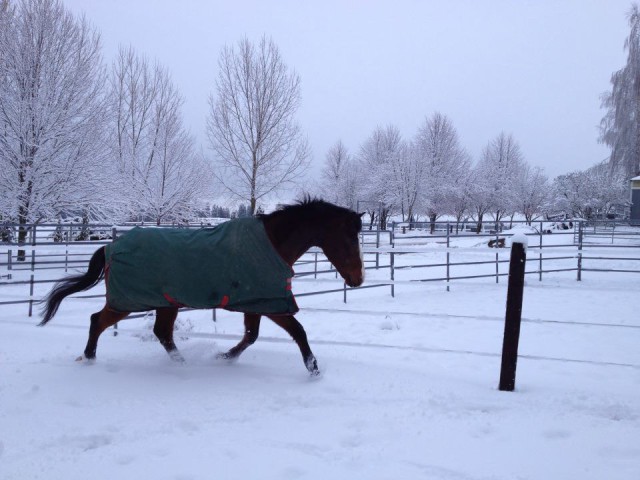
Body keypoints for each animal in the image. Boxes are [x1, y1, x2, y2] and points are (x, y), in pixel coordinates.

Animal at [41, 199, 364, 376]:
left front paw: (223, 357)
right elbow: (298, 332)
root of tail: (110, 247)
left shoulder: (257, 302)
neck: (272, 244)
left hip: (165, 303)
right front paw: (314, 370)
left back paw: (181, 363)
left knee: (161, 333)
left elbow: (251, 336)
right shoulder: (271, 302)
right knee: (98, 320)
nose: (358, 279)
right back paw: (90, 359)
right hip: (130, 301)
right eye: (349, 237)